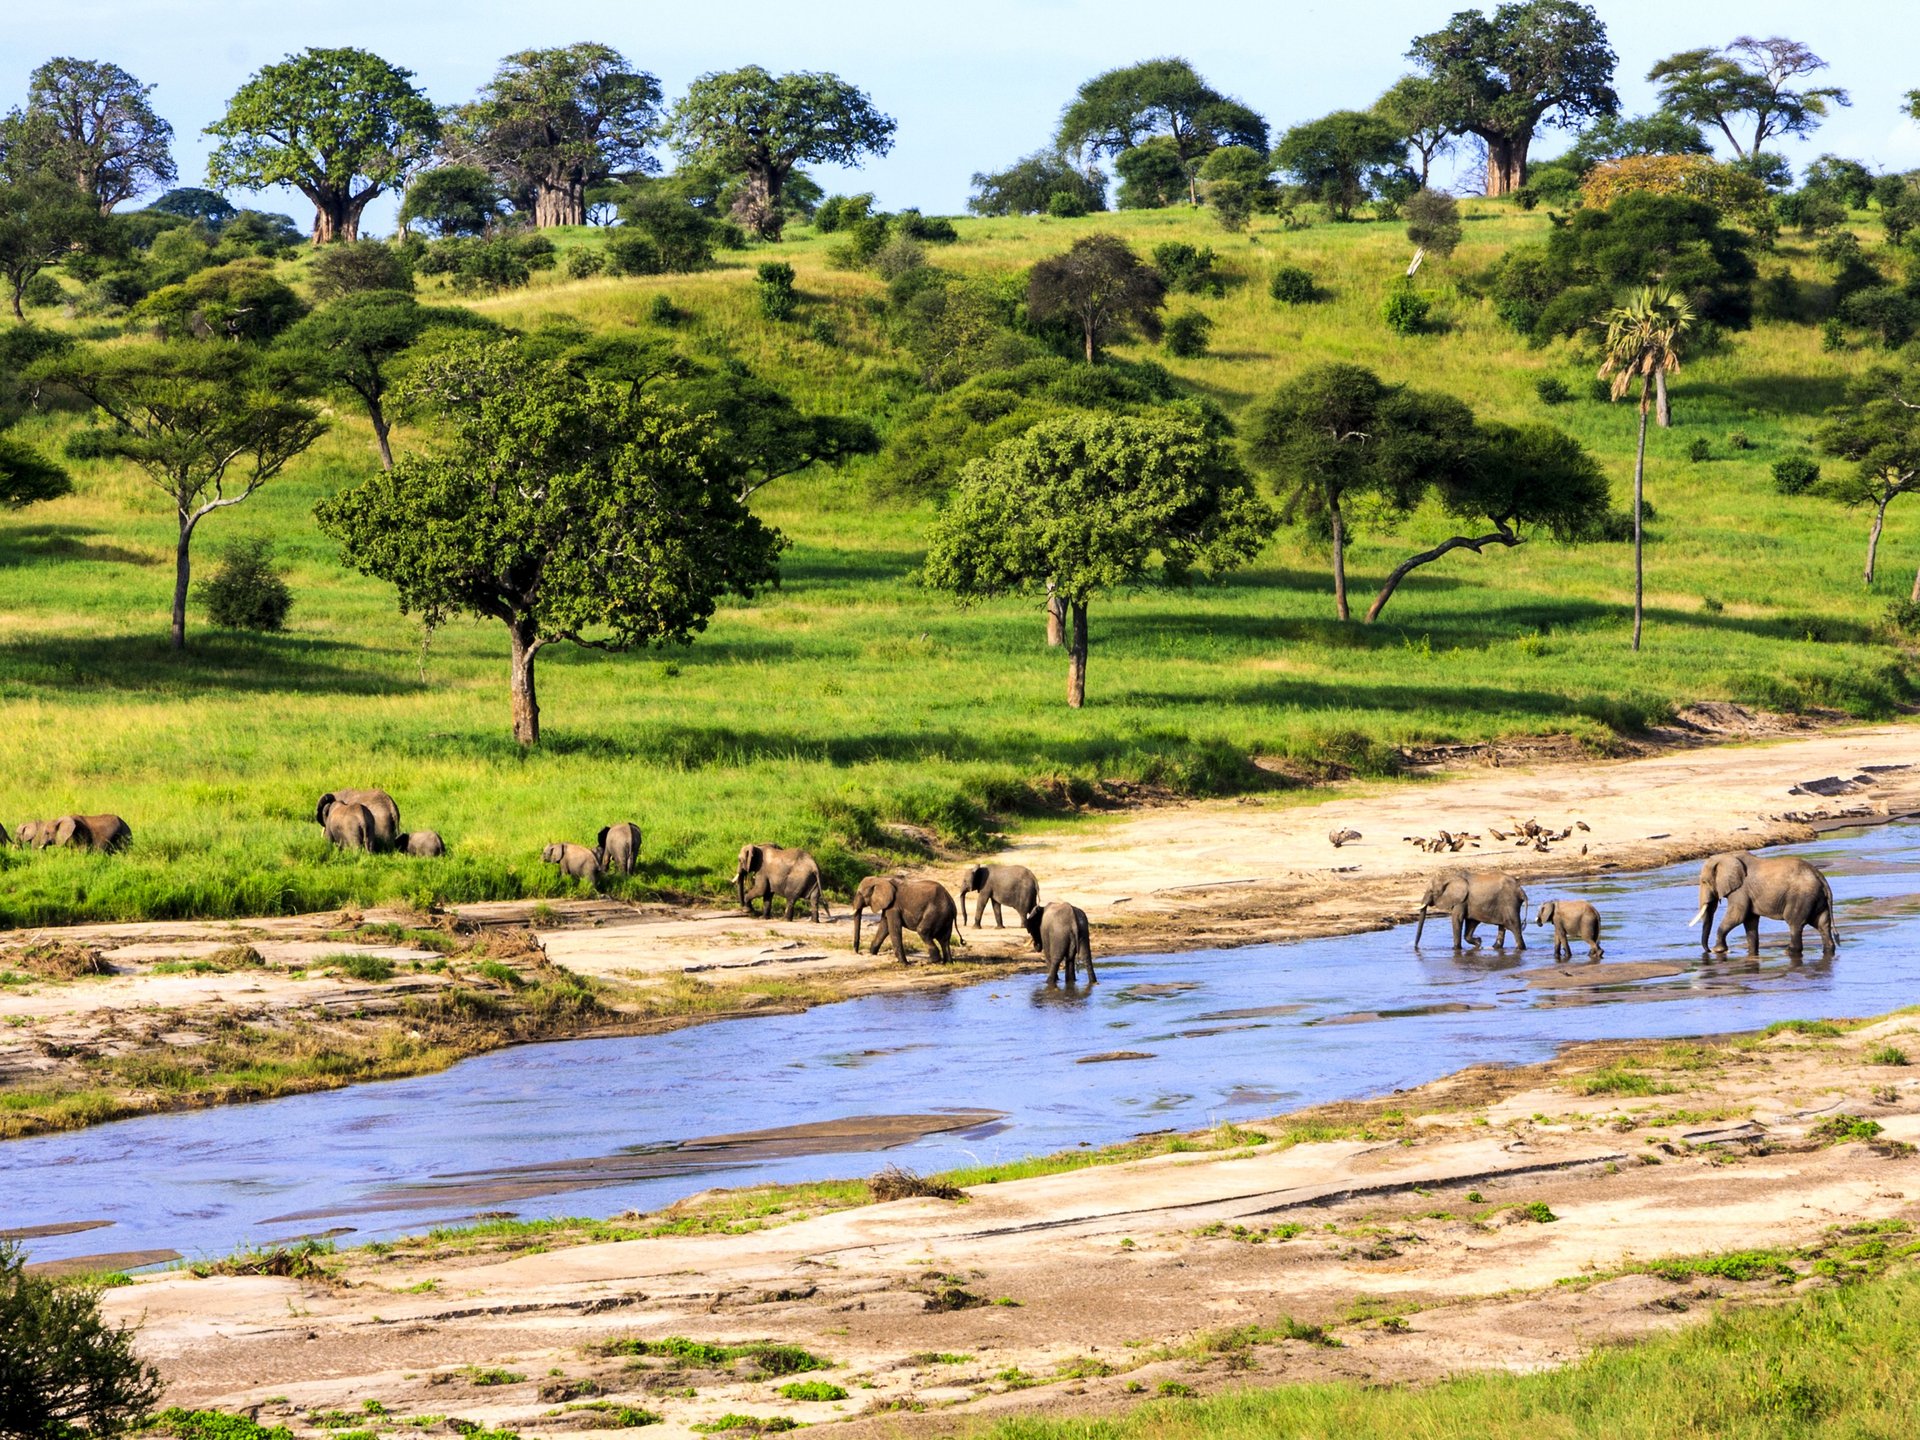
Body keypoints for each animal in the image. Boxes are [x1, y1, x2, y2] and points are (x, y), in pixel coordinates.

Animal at [1689, 852, 1835, 963]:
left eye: (1704, 882)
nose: (1708, 950)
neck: (1727, 856)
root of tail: (1820, 877)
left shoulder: (1740, 890)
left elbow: (1737, 915)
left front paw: (1718, 950)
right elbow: (1750, 920)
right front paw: (1751, 952)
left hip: (1801, 897)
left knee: (1795, 924)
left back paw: (1788, 952)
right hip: (1816, 899)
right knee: (1822, 924)